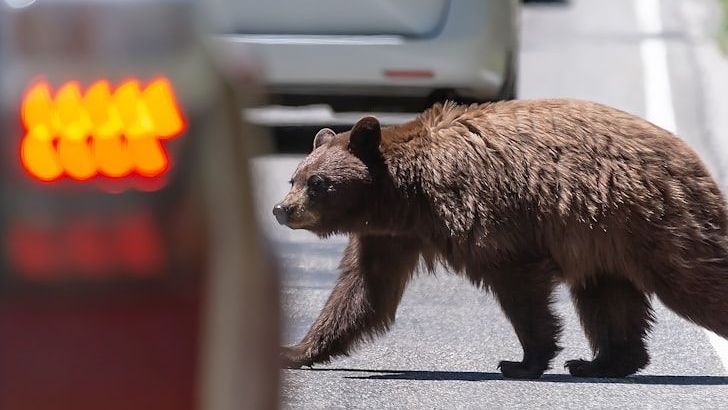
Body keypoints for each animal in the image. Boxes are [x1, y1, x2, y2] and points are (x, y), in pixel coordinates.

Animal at [272, 99, 728, 379]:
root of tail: (689, 157)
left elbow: (518, 284)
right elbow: (363, 291)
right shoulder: (389, 236)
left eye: (317, 182)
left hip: (647, 220)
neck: (408, 195)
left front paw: (522, 361)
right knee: (606, 295)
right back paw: (601, 362)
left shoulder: (486, 212)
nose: (281, 209)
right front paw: (295, 350)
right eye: (294, 177)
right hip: (605, 237)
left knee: (695, 279)